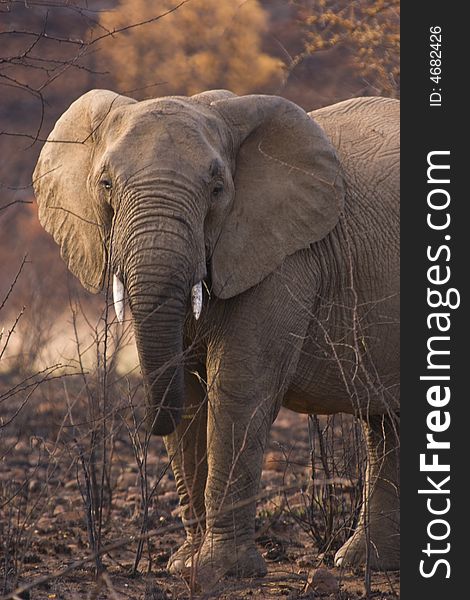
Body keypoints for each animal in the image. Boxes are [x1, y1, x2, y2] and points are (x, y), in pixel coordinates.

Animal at [34, 89, 400, 580]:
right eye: (106, 184)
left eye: (217, 189)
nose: (148, 421)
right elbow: (189, 395)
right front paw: (183, 567)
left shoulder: (283, 259)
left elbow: (236, 390)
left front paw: (223, 572)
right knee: (388, 425)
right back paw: (363, 563)